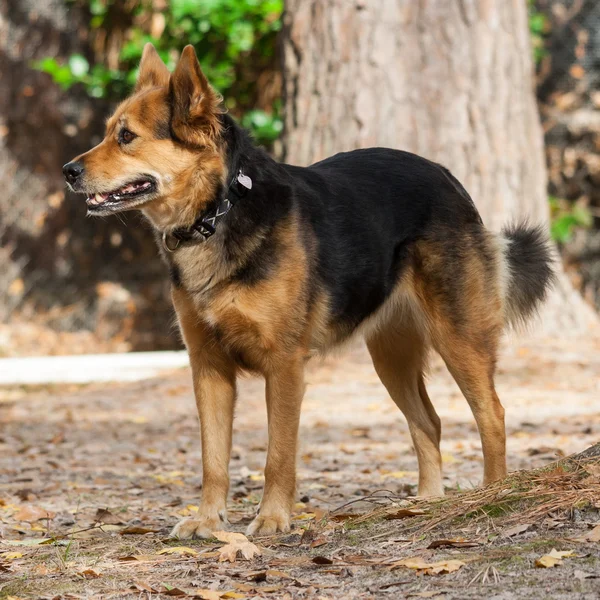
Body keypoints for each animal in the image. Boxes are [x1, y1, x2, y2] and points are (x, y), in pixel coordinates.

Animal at [63, 44, 556, 536]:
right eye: (108, 133)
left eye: (126, 137)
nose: (67, 171)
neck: (220, 209)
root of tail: (448, 177)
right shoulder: (208, 367)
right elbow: (212, 459)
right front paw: (208, 520)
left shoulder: (284, 365)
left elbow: (278, 455)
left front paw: (272, 518)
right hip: (390, 357)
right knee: (428, 423)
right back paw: (427, 502)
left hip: (458, 338)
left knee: (492, 414)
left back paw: (494, 493)